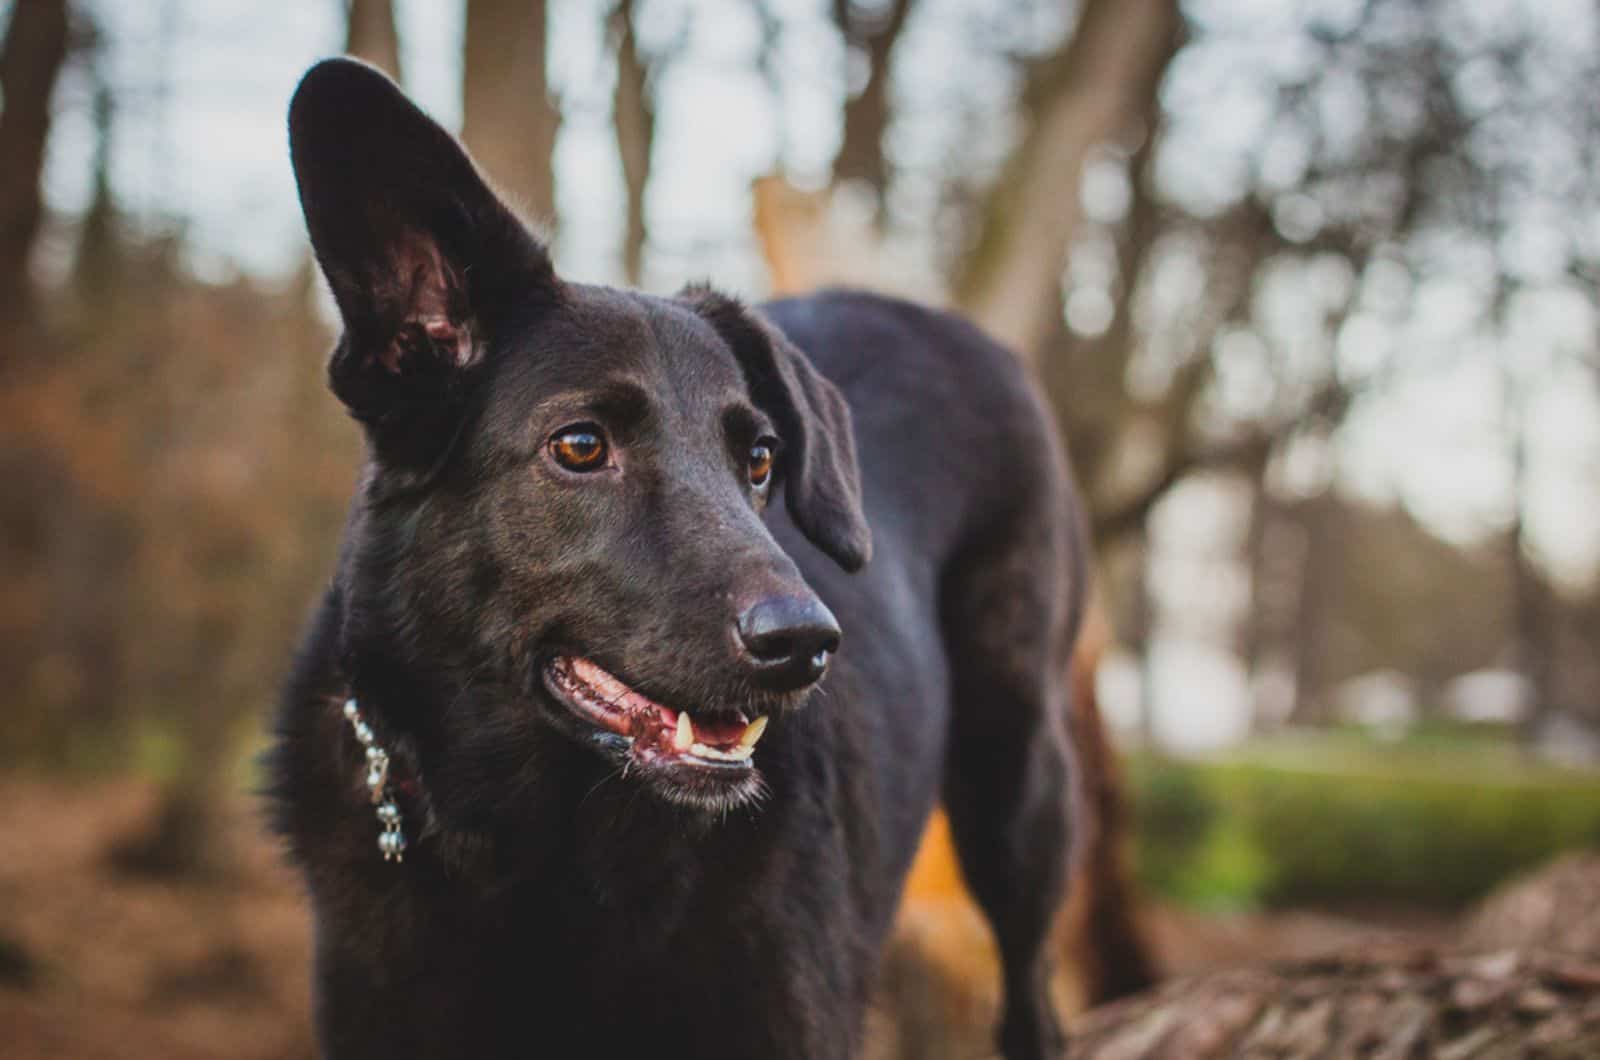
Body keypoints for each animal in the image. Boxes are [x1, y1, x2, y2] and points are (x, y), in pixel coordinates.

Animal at [272, 58, 1088, 1060]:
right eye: (581, 446)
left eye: (762, 460)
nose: (808, 644)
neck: (531, 847)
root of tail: (951, 325)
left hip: (1018, 779)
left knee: (1030, 982)